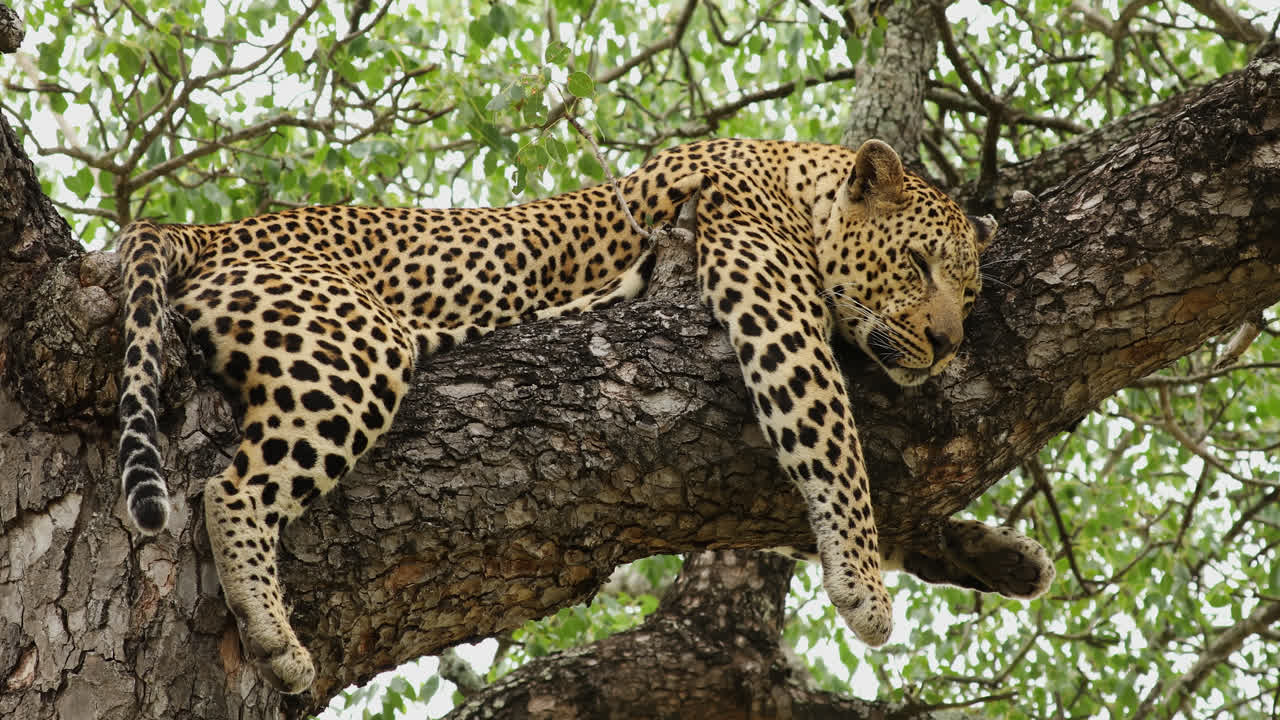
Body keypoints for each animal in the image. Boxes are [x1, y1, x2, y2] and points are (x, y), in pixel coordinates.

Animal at [117, 137, 1054, 694]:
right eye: (918, 263)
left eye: (972, 294)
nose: (947, 343)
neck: (801, 178)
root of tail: (209, 229)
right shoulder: (772, 305)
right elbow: (833, 445)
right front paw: (864, 587)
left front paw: (1001, 558)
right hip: (355, 344)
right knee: (232, 488)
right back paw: (273, 632)